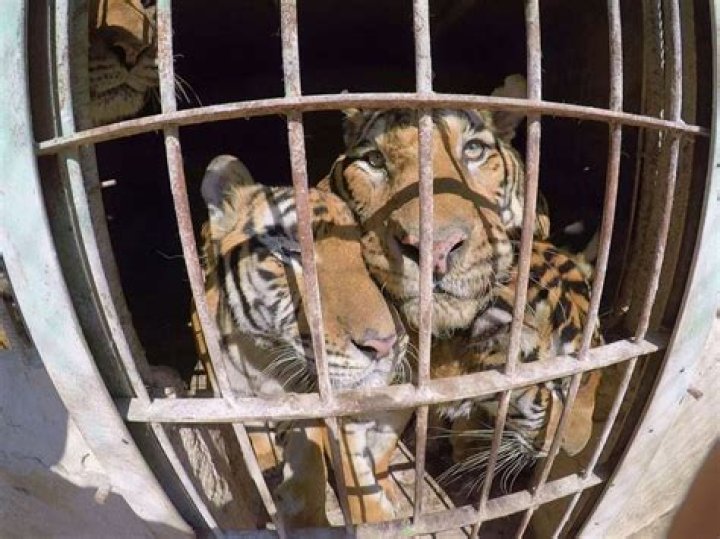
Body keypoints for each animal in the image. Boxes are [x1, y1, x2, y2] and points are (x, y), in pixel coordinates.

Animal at [200, 154, 413, 527]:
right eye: (291, 251)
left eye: (367, 254)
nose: (385, 344)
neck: (262, 360)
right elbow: (255, 438)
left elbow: (316, 465)